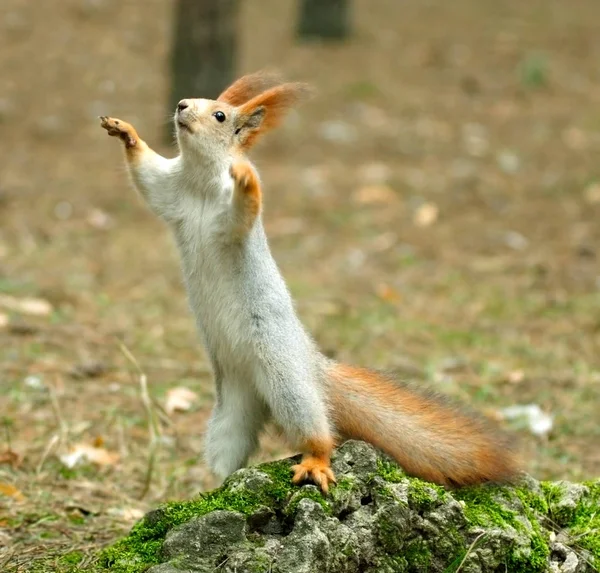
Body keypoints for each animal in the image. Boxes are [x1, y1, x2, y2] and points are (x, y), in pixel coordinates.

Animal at [99, 70, 520, 492]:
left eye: (219, 115)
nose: (182, 105)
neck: (201, 177)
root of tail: (312, 365)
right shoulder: (170, 188)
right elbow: (147, 178)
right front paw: (124, 131)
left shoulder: (229, 222)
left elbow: (241, 213)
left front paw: (247, 181)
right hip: (233, 405)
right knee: (230, 446)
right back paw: (216, 486)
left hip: (285, 381)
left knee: (319, 432)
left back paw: (315, 460)